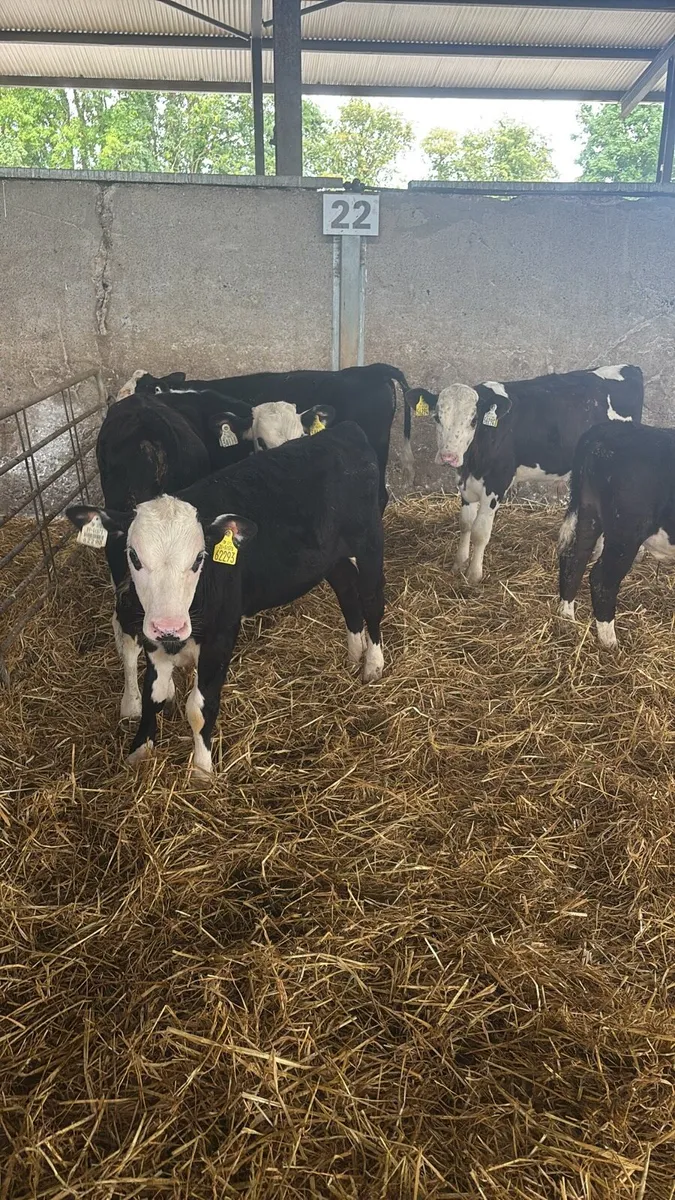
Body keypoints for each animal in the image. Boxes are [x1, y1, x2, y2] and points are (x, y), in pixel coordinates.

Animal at [67, 422, 386, 775]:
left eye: (199, 559)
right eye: (134, 556)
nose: (169, 626)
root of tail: (344, 430)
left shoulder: (220, 637)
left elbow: (199, 708)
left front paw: (202, 771)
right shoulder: (153, 638)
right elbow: (154, 696)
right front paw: (139, 752)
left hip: (369, 543)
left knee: (372, 600)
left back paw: (373, 664)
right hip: (333, 559)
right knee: (347, 594)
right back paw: (353, 655)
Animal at [404, 365, 644, 586]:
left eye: (473, 420)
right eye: (437, 417)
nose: (448, 456)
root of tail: (629, 368)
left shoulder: (496, 483)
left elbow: (480, 531)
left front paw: (474, 575)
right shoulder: (465, 482)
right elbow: (465, 523)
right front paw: (459, 564)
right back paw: (596, 553)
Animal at [558, 421, 675, 648]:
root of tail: (607, 428)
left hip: (589, 513)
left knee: (574, 559)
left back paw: (567, 616)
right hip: (625, 533)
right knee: (602, 578)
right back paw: (609, 641)